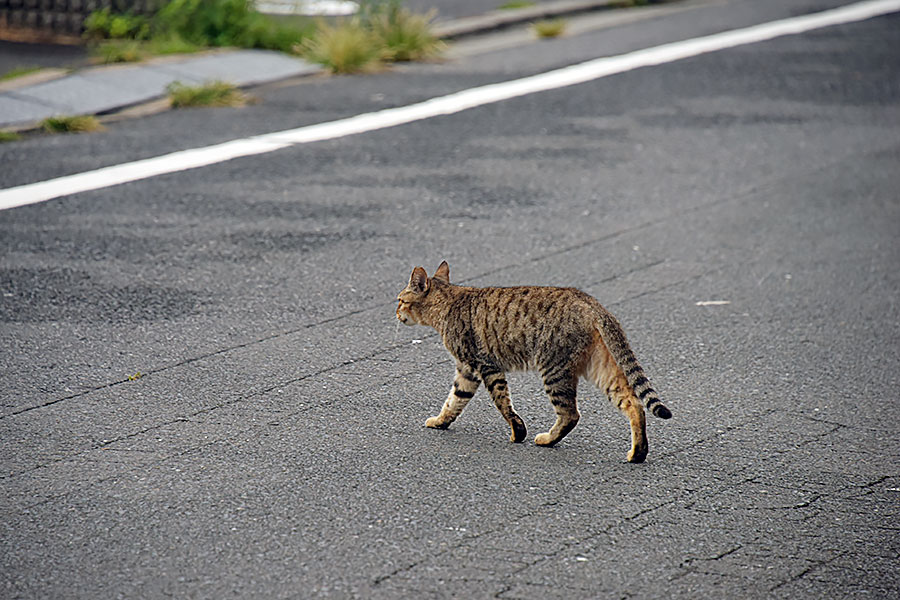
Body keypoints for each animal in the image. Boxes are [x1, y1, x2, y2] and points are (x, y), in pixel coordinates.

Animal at [398, 260, 672, 462]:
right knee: (633, 403)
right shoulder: (467, 370)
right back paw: (638, 453)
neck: (448, 303)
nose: (396, 312)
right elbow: (454, 400)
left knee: (571, 414)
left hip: (553, 368)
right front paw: (440, 421)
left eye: (400, 300)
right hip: (599, 367)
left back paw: (547, 439)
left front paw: (518, 431)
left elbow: (501, 402)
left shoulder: (484, 365)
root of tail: (590, 302)